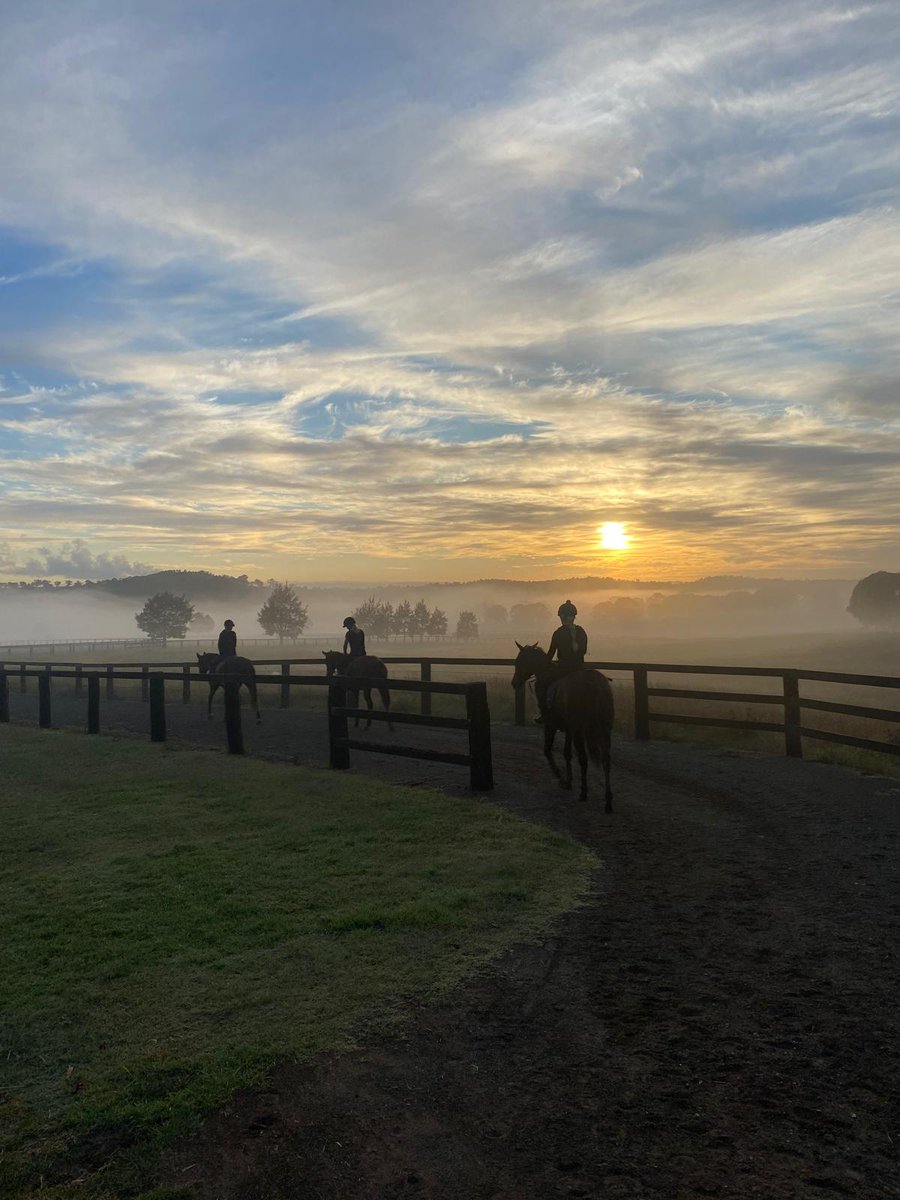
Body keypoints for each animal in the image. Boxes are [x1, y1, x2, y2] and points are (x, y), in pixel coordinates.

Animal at [513, 643, 614, 811]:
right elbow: (566, 753)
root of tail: (595, 684)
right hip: (604, 729)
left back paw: (584, 792)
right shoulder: (569, 729)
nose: (514, 683)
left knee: (583, 758)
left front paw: (562, 778)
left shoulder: (552, 725)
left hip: (580, 730)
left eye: (518, 662)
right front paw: (568, 780)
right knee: (606, 760)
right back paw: (608, 801)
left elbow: (548, 750)